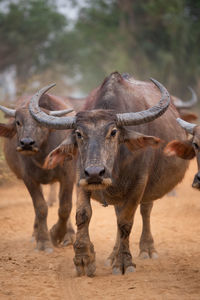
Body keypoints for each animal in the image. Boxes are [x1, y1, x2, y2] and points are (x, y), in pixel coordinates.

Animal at [0, 94, 76, 253]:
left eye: (41, 124)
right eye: (18, 122)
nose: (26, 143)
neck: (44, 156)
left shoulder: (68, 176)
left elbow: (65, 207)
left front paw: (58, 234)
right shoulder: (29, 179)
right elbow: (41, 208)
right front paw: (43, 241)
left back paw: (69, 234)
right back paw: (35, 233)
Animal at [28, 72, 189, 276]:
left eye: (113, 132)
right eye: (79, 134)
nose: (95, 173)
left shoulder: (139, 183)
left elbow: (126, 222)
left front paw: (124, 262)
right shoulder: (81, 177)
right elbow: (83, 214)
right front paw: (83, 259)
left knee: (144, 211)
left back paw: (147, 249)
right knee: (118, 214)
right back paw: (112, 255)